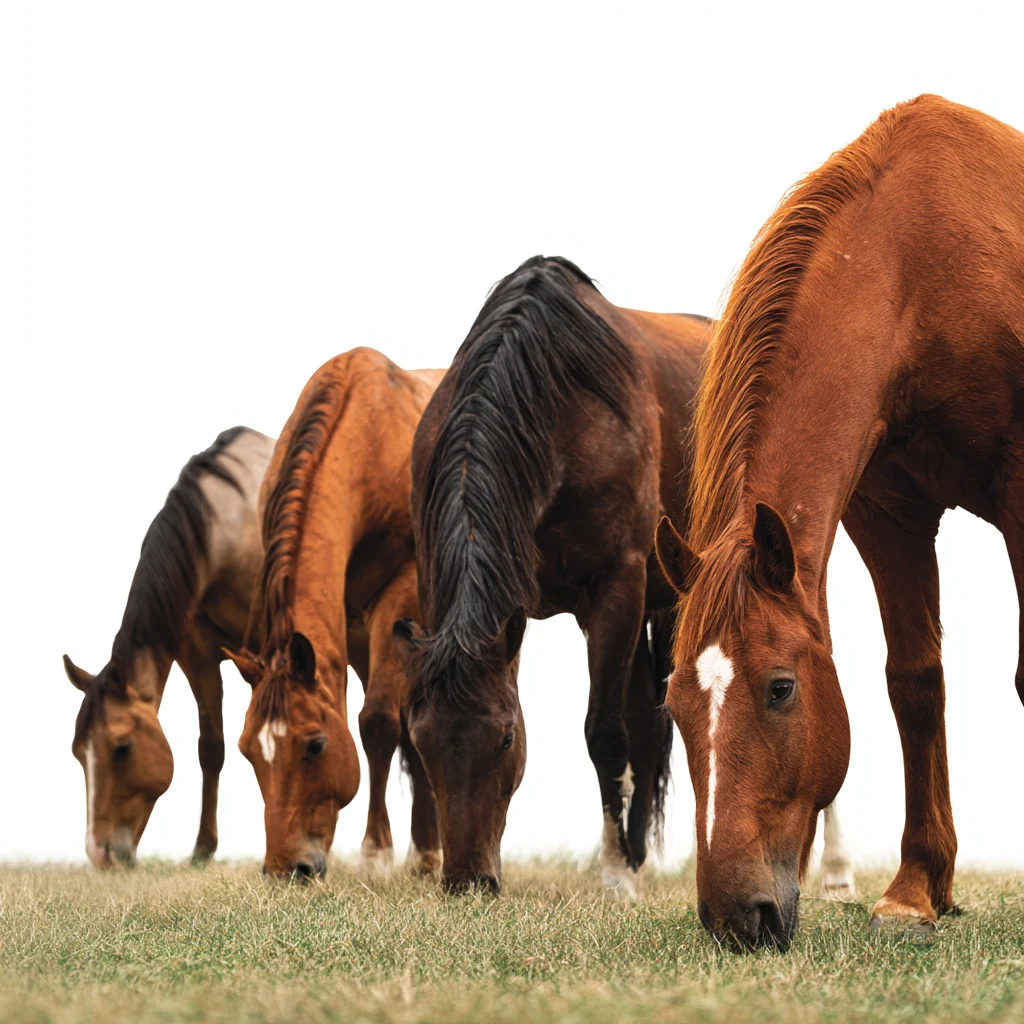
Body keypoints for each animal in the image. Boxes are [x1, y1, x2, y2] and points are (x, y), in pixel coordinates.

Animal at [64, 426, 273, 868]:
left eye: (122, 748)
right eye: (77, 752)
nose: (99, 854)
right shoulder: (198, 656)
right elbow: (212, 748)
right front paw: (203, 849)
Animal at [225, 348, 445, 879]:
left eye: (315, 744)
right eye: (247, 751)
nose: (286, 868)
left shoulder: (399, 592)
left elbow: (378, 721)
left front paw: (376, 855)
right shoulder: (348, 623)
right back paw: (426, 855)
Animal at [393, 255, 855, 896]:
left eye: (507, 735)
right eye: (420, 738)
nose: (467, 881)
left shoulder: (617, 590)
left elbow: (605, 735)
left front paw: (615, 876)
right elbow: (635, 729)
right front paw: (624, 861)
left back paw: (836, 871)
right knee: (649, 722)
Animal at [654, 94, 1024, 949]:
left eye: (781, 689)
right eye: (675, 702)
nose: (735, 918)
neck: (925, 265)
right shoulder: (887, 511)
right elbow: (915, 681)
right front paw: (918, 889)